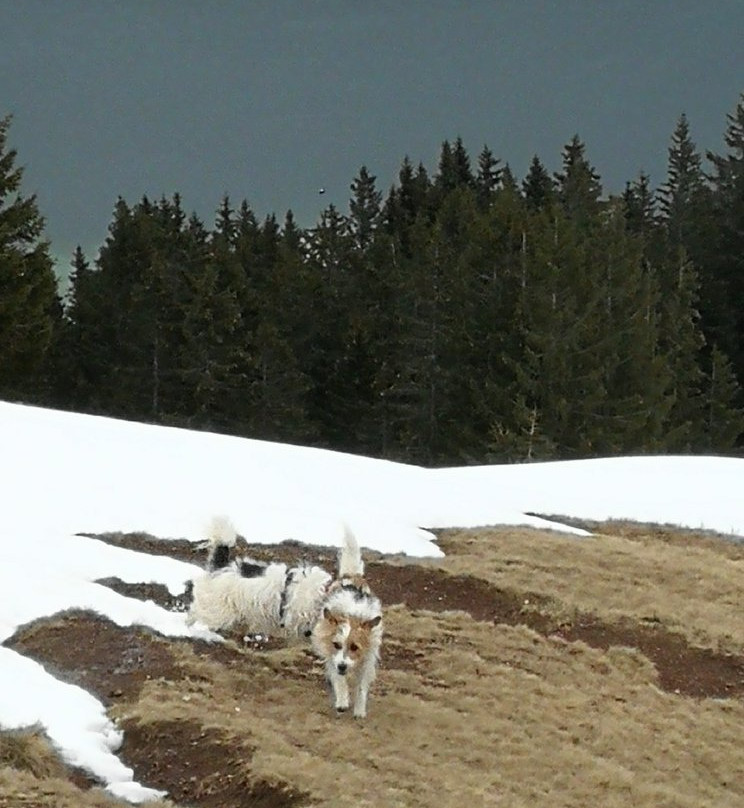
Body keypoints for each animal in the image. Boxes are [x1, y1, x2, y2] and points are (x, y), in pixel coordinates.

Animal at [312, 524, 386, 720]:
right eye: (337, 645)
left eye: (354, 647)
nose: (343, 666)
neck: (352, 614)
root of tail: (351, 575)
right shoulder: (332, 656)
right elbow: (339, 680)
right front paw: (342, 700)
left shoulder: (367, 659)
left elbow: (361, 688)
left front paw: (359, 709)